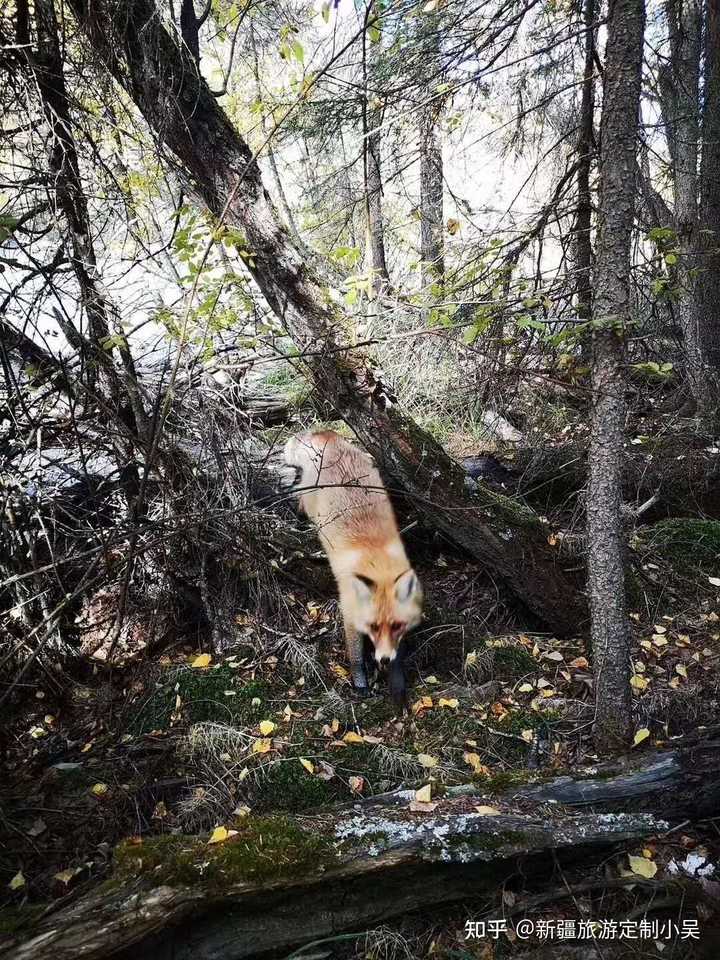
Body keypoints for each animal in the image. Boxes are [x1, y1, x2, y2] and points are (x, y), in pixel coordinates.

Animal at [284, 432, 424, 700]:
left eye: (396, 626)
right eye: (373, 626)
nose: (383, 659)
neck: (378, 562)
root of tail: (328, 436)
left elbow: (398, 657)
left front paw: (397, 685)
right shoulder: (349, 613)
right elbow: (356, 656)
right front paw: (360, 682)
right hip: (310, 502)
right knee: (300, 500)